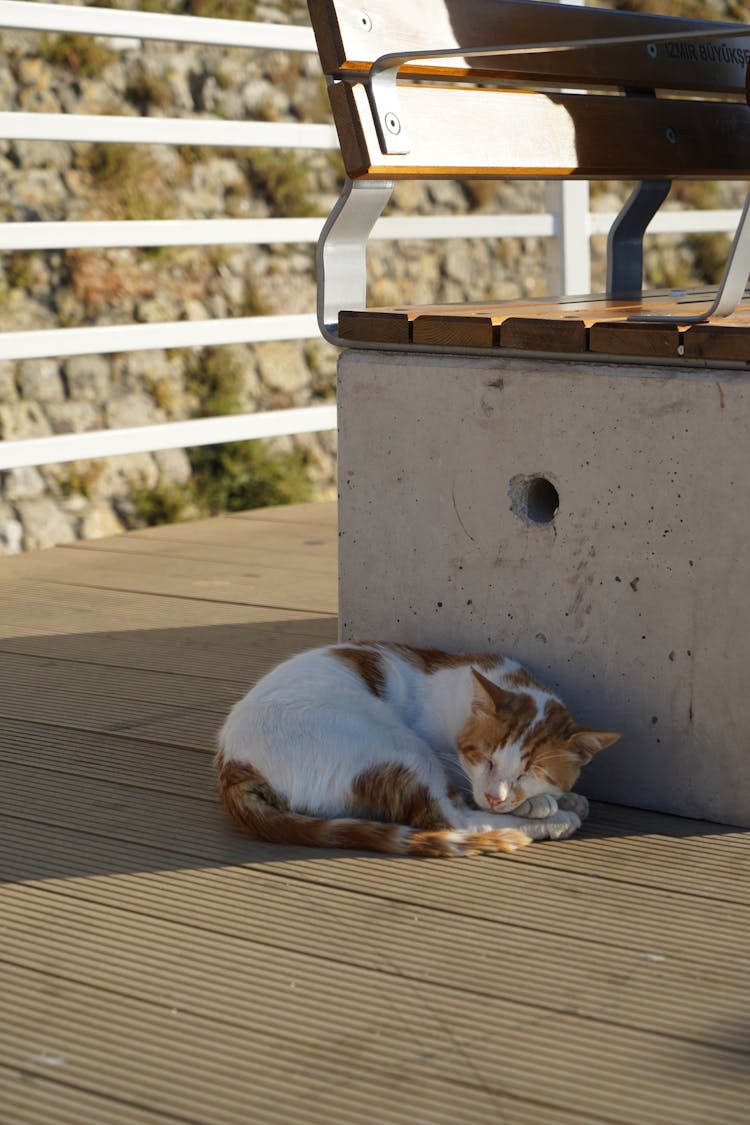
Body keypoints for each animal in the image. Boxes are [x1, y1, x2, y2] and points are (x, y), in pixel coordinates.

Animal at [213, 643, 620, 859]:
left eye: (527, 773)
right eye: (487, 760)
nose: (495, 795)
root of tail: (232, 760)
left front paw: (560, 797)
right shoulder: (446, 758)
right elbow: (472, 796)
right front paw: (546, 806)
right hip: (399, 745)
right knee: (453, 819)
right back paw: (556, 822)